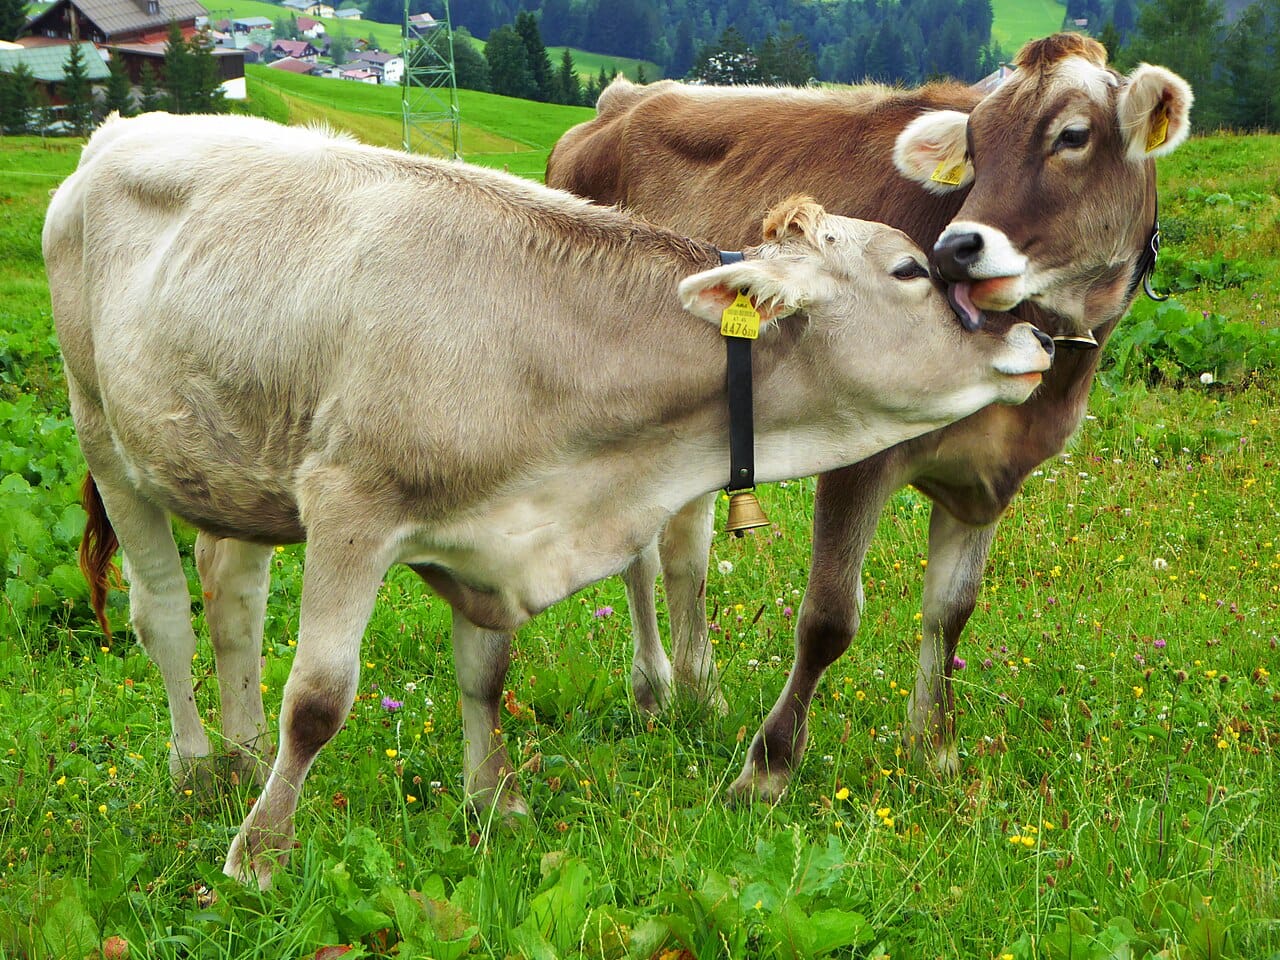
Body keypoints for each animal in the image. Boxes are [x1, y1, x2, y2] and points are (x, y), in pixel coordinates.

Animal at [44, 112, 1052, 885]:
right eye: (911, 271)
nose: (1037, 339)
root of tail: (119, 130)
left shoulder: (489, 533)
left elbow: (485, 676)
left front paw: (496, 803)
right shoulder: (349, 505)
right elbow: (321, 699)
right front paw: (260, 853)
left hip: (233, 462)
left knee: (233, 596)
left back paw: (244, 750)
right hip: (103, 433)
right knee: (163, 613)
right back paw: (197, 766)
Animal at [545, 33, 1193, 797]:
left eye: (1073, 135)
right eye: (976, 143)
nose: (954, 250)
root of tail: (623, 97)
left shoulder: (992, 477)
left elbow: (953, 610)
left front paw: (934, 749)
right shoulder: (859, 454)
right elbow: (828, 618)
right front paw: (769, 767)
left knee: (684, 551)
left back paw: (702, 694)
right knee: (639, 555)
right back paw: (653, 690)